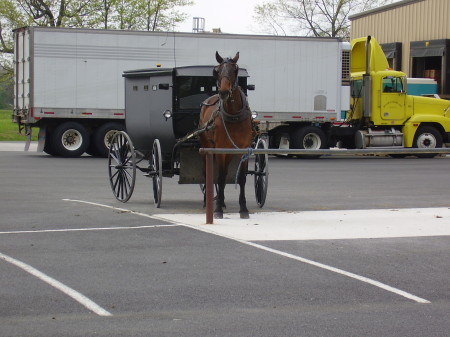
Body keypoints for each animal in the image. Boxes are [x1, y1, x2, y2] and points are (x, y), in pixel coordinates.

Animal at [200, 50, 255, 218]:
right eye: (216, 71)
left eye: (235, 70)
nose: (223, 92)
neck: (234, 116)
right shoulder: (220, 149)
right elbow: (221, 177)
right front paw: (217, 209)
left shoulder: (244, 149)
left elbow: (242, 178)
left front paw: (243, 208)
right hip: (207, 147)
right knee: (208, 173)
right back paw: (208, 201)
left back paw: (222, 200)